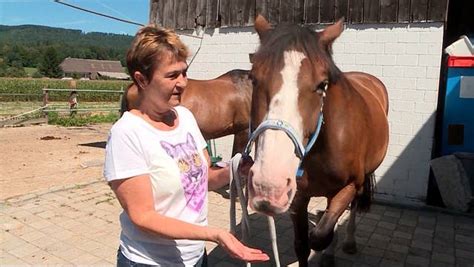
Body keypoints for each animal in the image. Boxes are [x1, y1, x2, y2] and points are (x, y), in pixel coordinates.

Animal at [243, 16, 390, 266]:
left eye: (322, 85)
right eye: (253, 79)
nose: (268, 185)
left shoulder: (349, 186)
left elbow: (320, 236)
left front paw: (328, 246)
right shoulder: (298, 197)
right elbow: (303, 245)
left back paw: (348, 242)